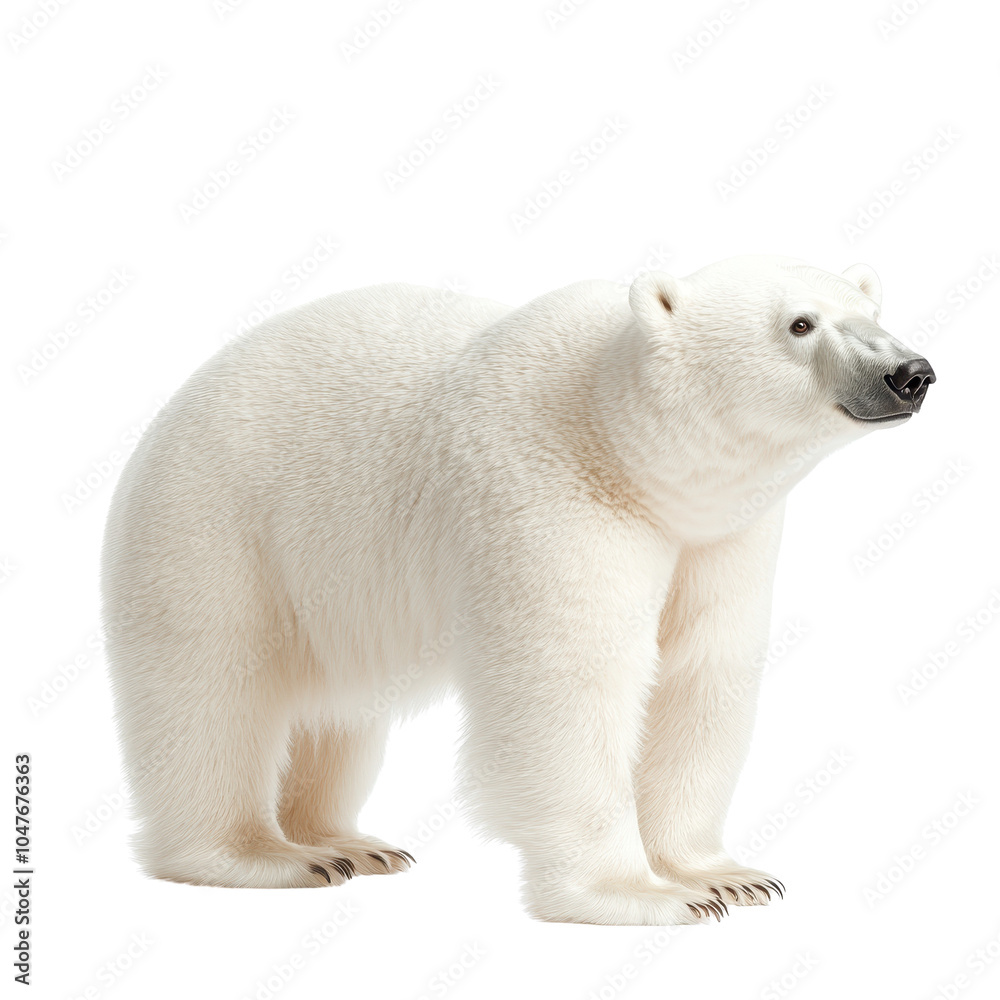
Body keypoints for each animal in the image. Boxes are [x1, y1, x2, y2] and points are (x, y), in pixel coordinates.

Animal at [101, 255, 935, 924]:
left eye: (872, 314)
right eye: (800, 324)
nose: (910, 373)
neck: (617, 438)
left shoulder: (720, 538)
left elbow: (700, 674)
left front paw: (723, 877)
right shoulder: (550, 491)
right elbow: (570, 686)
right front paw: (642, 895)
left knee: (337, 714)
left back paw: (346, 842)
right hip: (219, 528)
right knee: (213, 689)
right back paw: (267, 854)